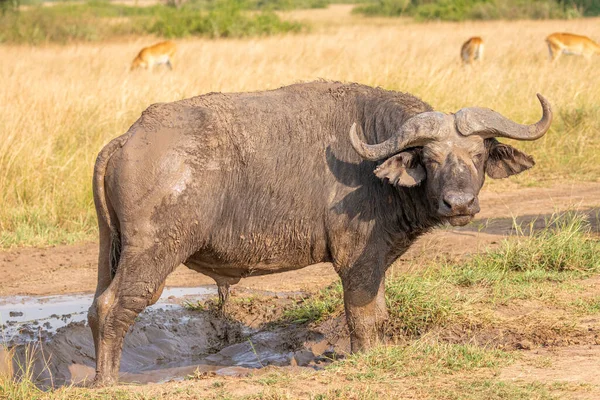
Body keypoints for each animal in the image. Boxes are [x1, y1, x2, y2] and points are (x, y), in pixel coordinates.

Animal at [86, 81, 552, 384]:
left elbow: (380, 315)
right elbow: (364, 318)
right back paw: (109, 383)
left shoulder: (376, 262)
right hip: (153, 254)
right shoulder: (357, 263)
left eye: (478, 155)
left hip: (112, 249)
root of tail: (129, 138)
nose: (459, 204)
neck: (374, 169)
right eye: (431, 158)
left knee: (95, 307)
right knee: (115, 307)